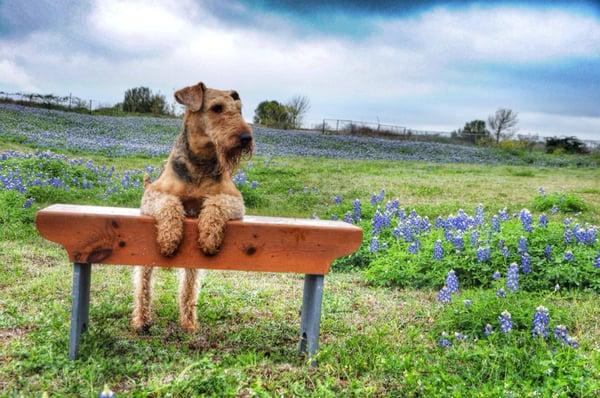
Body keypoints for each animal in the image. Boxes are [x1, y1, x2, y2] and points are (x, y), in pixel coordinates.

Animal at [131, 82, 253, 332]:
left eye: (239, 109)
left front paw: (209, 236)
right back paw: (141, 320)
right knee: (143, 286)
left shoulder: (234, 200)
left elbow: (214, 204)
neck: (201, 162)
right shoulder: (153, 194)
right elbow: (171, 203)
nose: (246, 137)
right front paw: (169, 238)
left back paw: (188, 323)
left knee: (188, 289)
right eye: (217, 108)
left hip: (192, 264)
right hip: (145, 259)